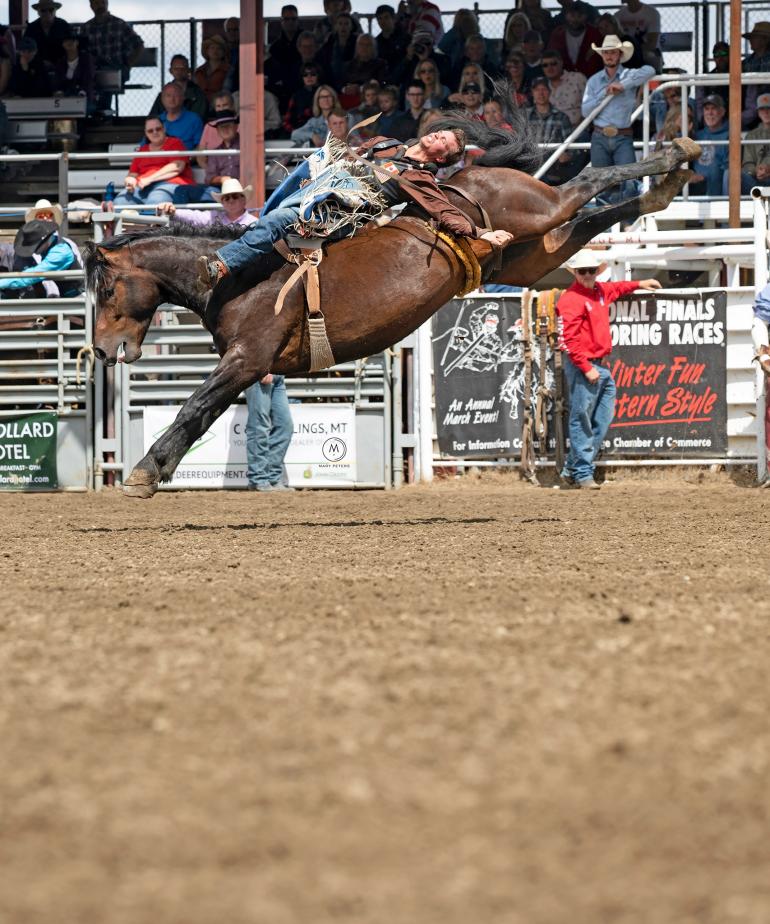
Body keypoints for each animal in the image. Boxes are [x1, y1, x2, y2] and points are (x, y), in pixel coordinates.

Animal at [82, 114, 696, 498]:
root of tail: (469, 173)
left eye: (106, 290)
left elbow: (195, 409)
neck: (241, 277)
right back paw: (665, 185)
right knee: (594, 217)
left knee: (590, 179)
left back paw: (676, 154)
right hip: (532, 252)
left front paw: (144, 473)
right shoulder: (249, 366)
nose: (103, 350)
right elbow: (202, 410)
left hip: (539, 208)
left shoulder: (247, 359)